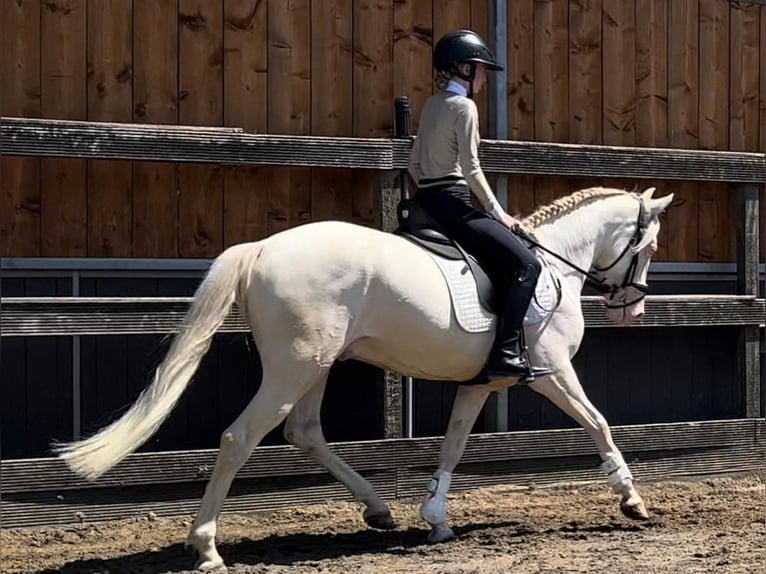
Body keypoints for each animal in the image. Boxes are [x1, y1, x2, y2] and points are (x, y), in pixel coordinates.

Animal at [54, 186, 676, 572]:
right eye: (648, 247)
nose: (633, 309)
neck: (552, 264)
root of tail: (262, 248)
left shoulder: (481, 383)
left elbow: (453, 444)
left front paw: (435, 520)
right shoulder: (552, 372)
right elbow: (598, 423)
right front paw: (633, 501)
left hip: (316, 365)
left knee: (303, 432)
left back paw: (378, 510)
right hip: (295, 366)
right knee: (240, 437)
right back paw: (206, 549)